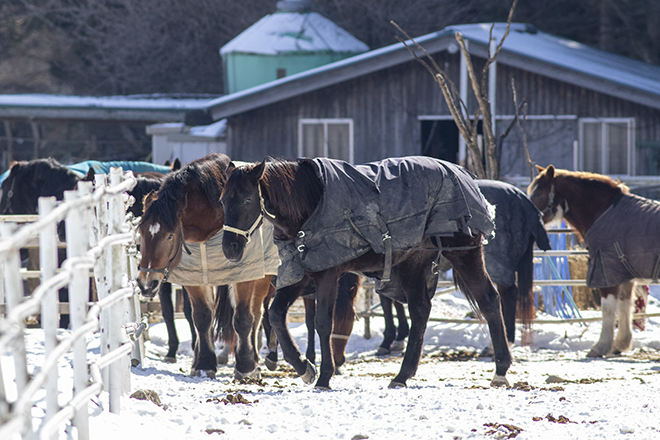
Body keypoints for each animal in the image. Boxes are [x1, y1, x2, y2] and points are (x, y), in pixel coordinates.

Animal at [137, 154, 274, 378]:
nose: (146, 283)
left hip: (263, 278)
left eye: (170, 236)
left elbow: (243, 318)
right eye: (141, 232)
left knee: (256, 315)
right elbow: (202, 318)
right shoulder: (196, 278)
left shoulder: (244, 275)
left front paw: (246, 367)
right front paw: (204, 364)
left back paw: (254, 358)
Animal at [222, 156, 510, 388]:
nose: (230, 247)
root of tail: (465, 176)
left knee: (488, 300)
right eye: (223, 200)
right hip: (413, 265)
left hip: (464, 254)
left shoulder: (327, 274)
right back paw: (403, 375)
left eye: (247, 199)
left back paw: (501, 369)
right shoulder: (301, 273)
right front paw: (304, 367)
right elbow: (276, 316)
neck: (310, 204)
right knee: (420, 311)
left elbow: (323, 323)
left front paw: (324, 376)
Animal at [532, 165, 660, 358]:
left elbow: (607, 309)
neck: (604, 211)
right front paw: (619, 344)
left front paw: (600, 346)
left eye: (539, 193)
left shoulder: (605, 271)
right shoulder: (624, 275)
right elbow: (625, 306)